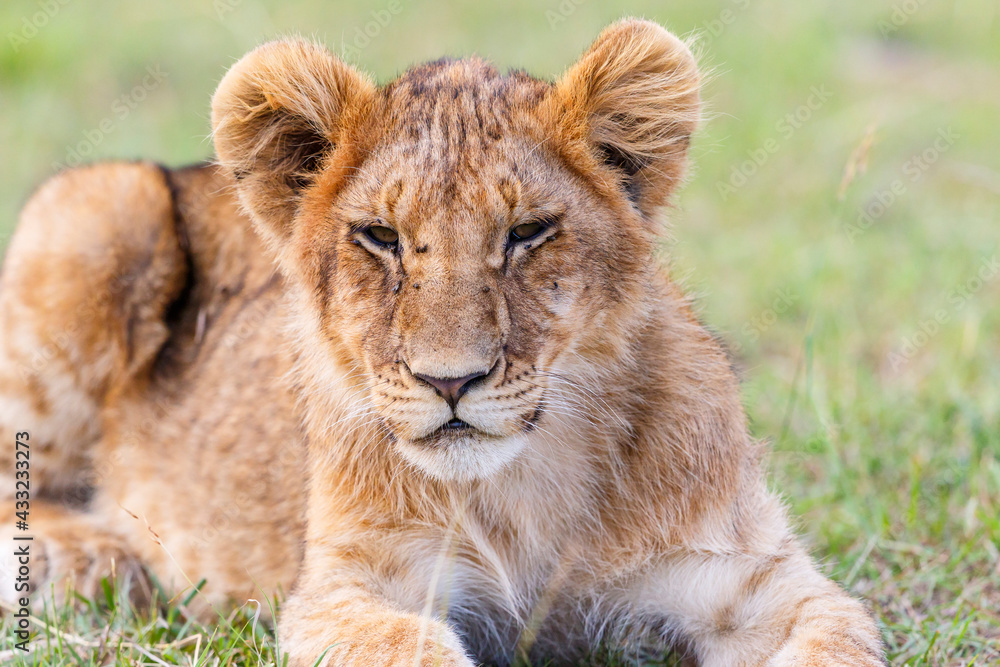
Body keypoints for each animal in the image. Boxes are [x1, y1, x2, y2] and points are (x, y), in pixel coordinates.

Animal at [0, 19, 886, 666]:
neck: (525, 488)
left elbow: (835, 636)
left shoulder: (755, 578)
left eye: (527, 232)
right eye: (381, 237)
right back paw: (96, 561)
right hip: (102, 208)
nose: (450, 381)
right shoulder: (350, 589)